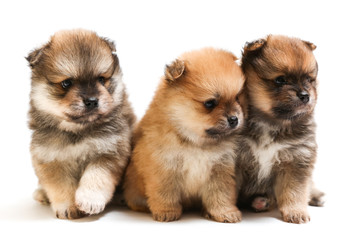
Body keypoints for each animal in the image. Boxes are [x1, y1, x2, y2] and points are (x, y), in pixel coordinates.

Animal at [27, 29, 135, 219]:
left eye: (101, 79)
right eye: (66, 83)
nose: (92, 100)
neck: (78, 130)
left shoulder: (109, 150)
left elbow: (96, 176)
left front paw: (89, 200)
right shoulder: (51, 158)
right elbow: (61, 185)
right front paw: (68, 206)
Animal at [236, 34, 324, 224]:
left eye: (309, 79)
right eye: (280, 80)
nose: (305, 95)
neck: (272, 122)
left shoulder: (297, 158)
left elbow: (295, 190)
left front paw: (296, 212)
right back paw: (260, 202)